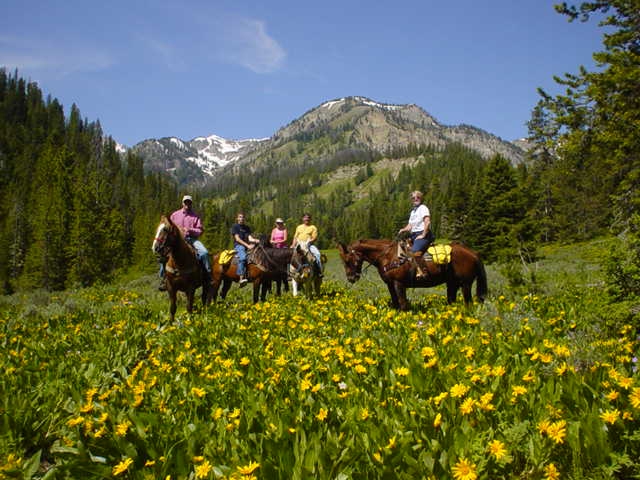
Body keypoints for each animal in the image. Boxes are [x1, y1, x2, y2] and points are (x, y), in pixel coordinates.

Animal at [337, 239, 487, 310]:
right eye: (343, 261)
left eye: (348, 260)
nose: (351, 278)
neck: (388, 256)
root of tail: (473, 253)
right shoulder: (390, 284)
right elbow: (396, 304)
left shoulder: (399, 284)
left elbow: (403, 304)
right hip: (452, 284)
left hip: (465, 284)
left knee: (469, 303)